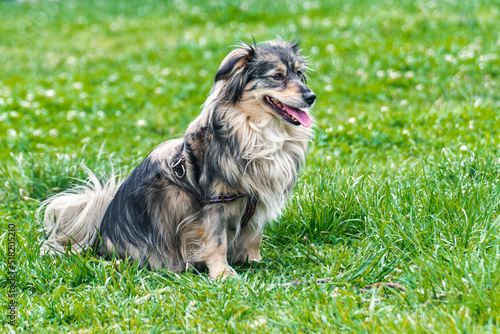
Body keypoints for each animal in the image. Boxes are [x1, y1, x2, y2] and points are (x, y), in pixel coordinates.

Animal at [43, 37, 316, 278]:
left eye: (298, 73)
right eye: (277, 76)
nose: (311, 97)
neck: (255, 130)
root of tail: (95, 241)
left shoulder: (255, 202)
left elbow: (253, 237)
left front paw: (254, 262)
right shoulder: (212, 203)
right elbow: (216, 241)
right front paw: (222, 274)